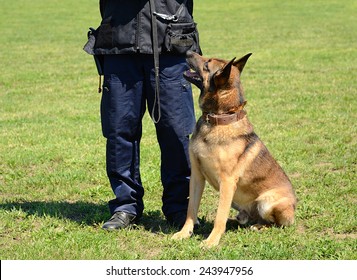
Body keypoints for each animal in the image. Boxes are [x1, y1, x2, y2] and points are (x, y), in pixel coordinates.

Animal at [171, 50, 296, 247]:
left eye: (207, 64)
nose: (188, 51)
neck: (218, 118)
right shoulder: (197, 177)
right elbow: (191, 210)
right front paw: (185, 233)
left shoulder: (227, 182)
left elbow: (219, 217)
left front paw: (211, 241)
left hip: (267, 202)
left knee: (274, 224)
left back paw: (258, 226)